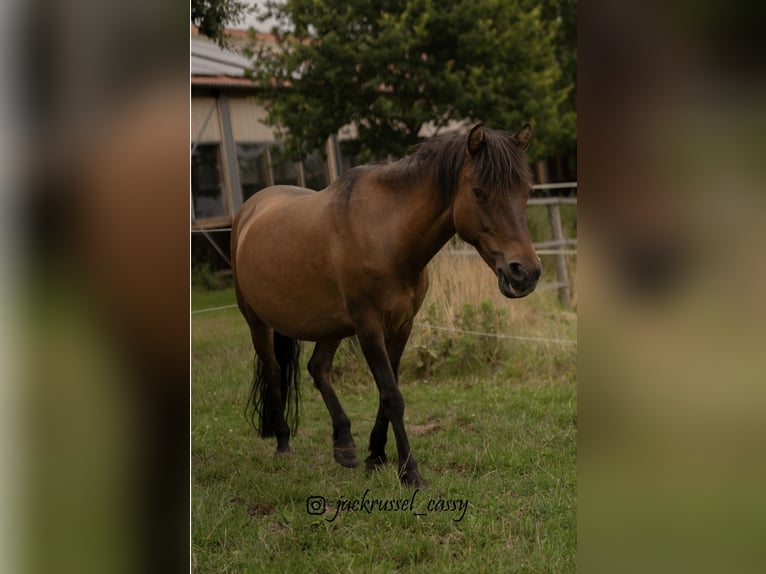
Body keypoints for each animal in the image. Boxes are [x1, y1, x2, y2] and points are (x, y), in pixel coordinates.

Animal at [230, 124, 541, 486]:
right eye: (479, 192)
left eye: (525, 191)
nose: (525, 272)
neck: (386, 235)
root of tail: (249, 210)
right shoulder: (368, 327)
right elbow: (392, 396)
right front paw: (410, 472)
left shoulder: (402, 325)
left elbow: (385, 392)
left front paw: (375, 455)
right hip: (257, 323)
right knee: (274, 371)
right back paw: (283, 443)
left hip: (330, 325)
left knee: (318, 368)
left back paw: (344, 444)